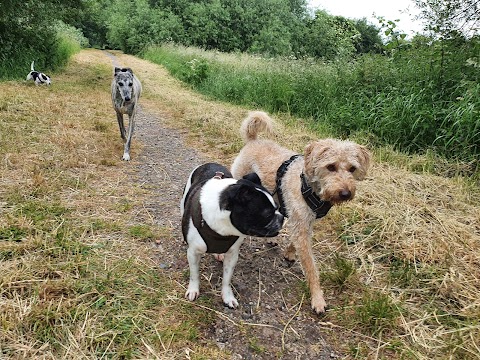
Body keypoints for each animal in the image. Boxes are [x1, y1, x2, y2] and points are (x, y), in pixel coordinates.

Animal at [181, 162, 284, 306]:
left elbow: (227, 279)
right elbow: (194, 274)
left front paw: (227, 296)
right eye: (268, 214)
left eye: (278, 208)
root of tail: (210, 163)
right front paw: (193, 290)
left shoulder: (232, 255)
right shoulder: (193, 253)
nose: (282, 218)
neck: (224, 229)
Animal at [230, 111, 372, 314]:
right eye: (331, 166)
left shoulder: (304, 223)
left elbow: (294, 241)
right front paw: (318, 298)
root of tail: (253, 141)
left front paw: (289, 252)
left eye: (352, 168)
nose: (345, 193)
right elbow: (311, 266)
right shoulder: (301, 225)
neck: (308, 184)